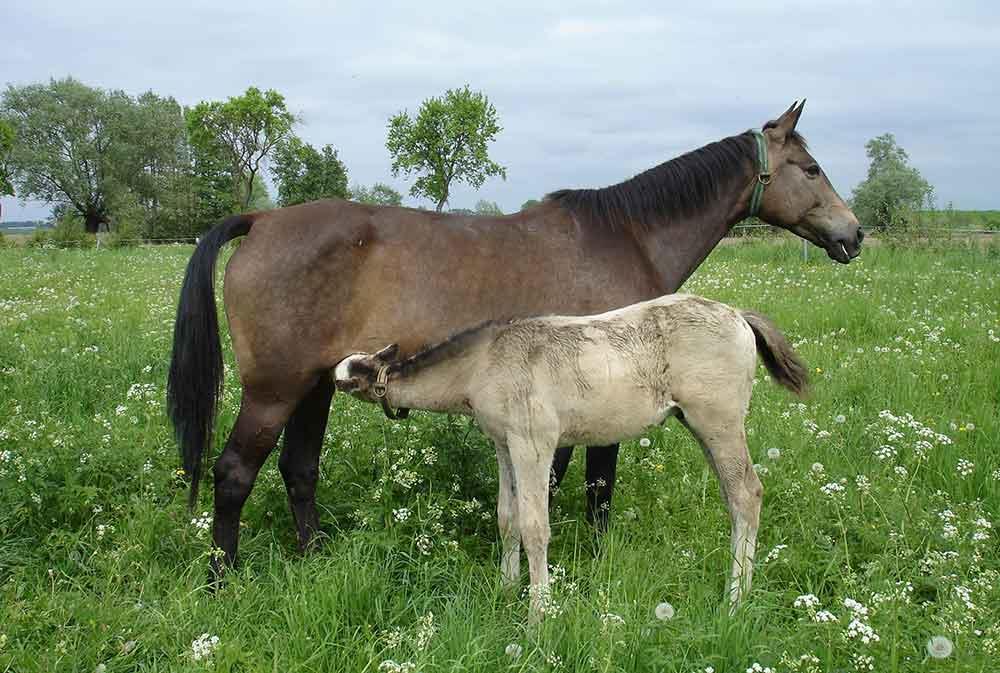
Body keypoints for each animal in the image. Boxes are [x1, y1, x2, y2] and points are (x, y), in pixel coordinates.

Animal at [168, 101, 856, 572]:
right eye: (812, 168)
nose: (853, 234)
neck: (624, 237)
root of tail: (262, 220)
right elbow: (596, 487)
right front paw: (594, 561)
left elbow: (545, 485)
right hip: (274, 390)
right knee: (234, 474)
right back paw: (223, 579)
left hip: (314, 385)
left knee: (299, 469)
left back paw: (312, 560)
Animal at [334, 294, 804, 620]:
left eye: (351, 375)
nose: (333, 375)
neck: (485, 363)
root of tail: (738, 315)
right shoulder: (504, 445)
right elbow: (507, 519)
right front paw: (506, 590)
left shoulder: (534, 443)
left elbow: (534, 527)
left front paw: (537, 615)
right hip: (701, 424)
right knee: (733, 497)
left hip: (718, 421)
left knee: (747, 493)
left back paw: (735, 600)